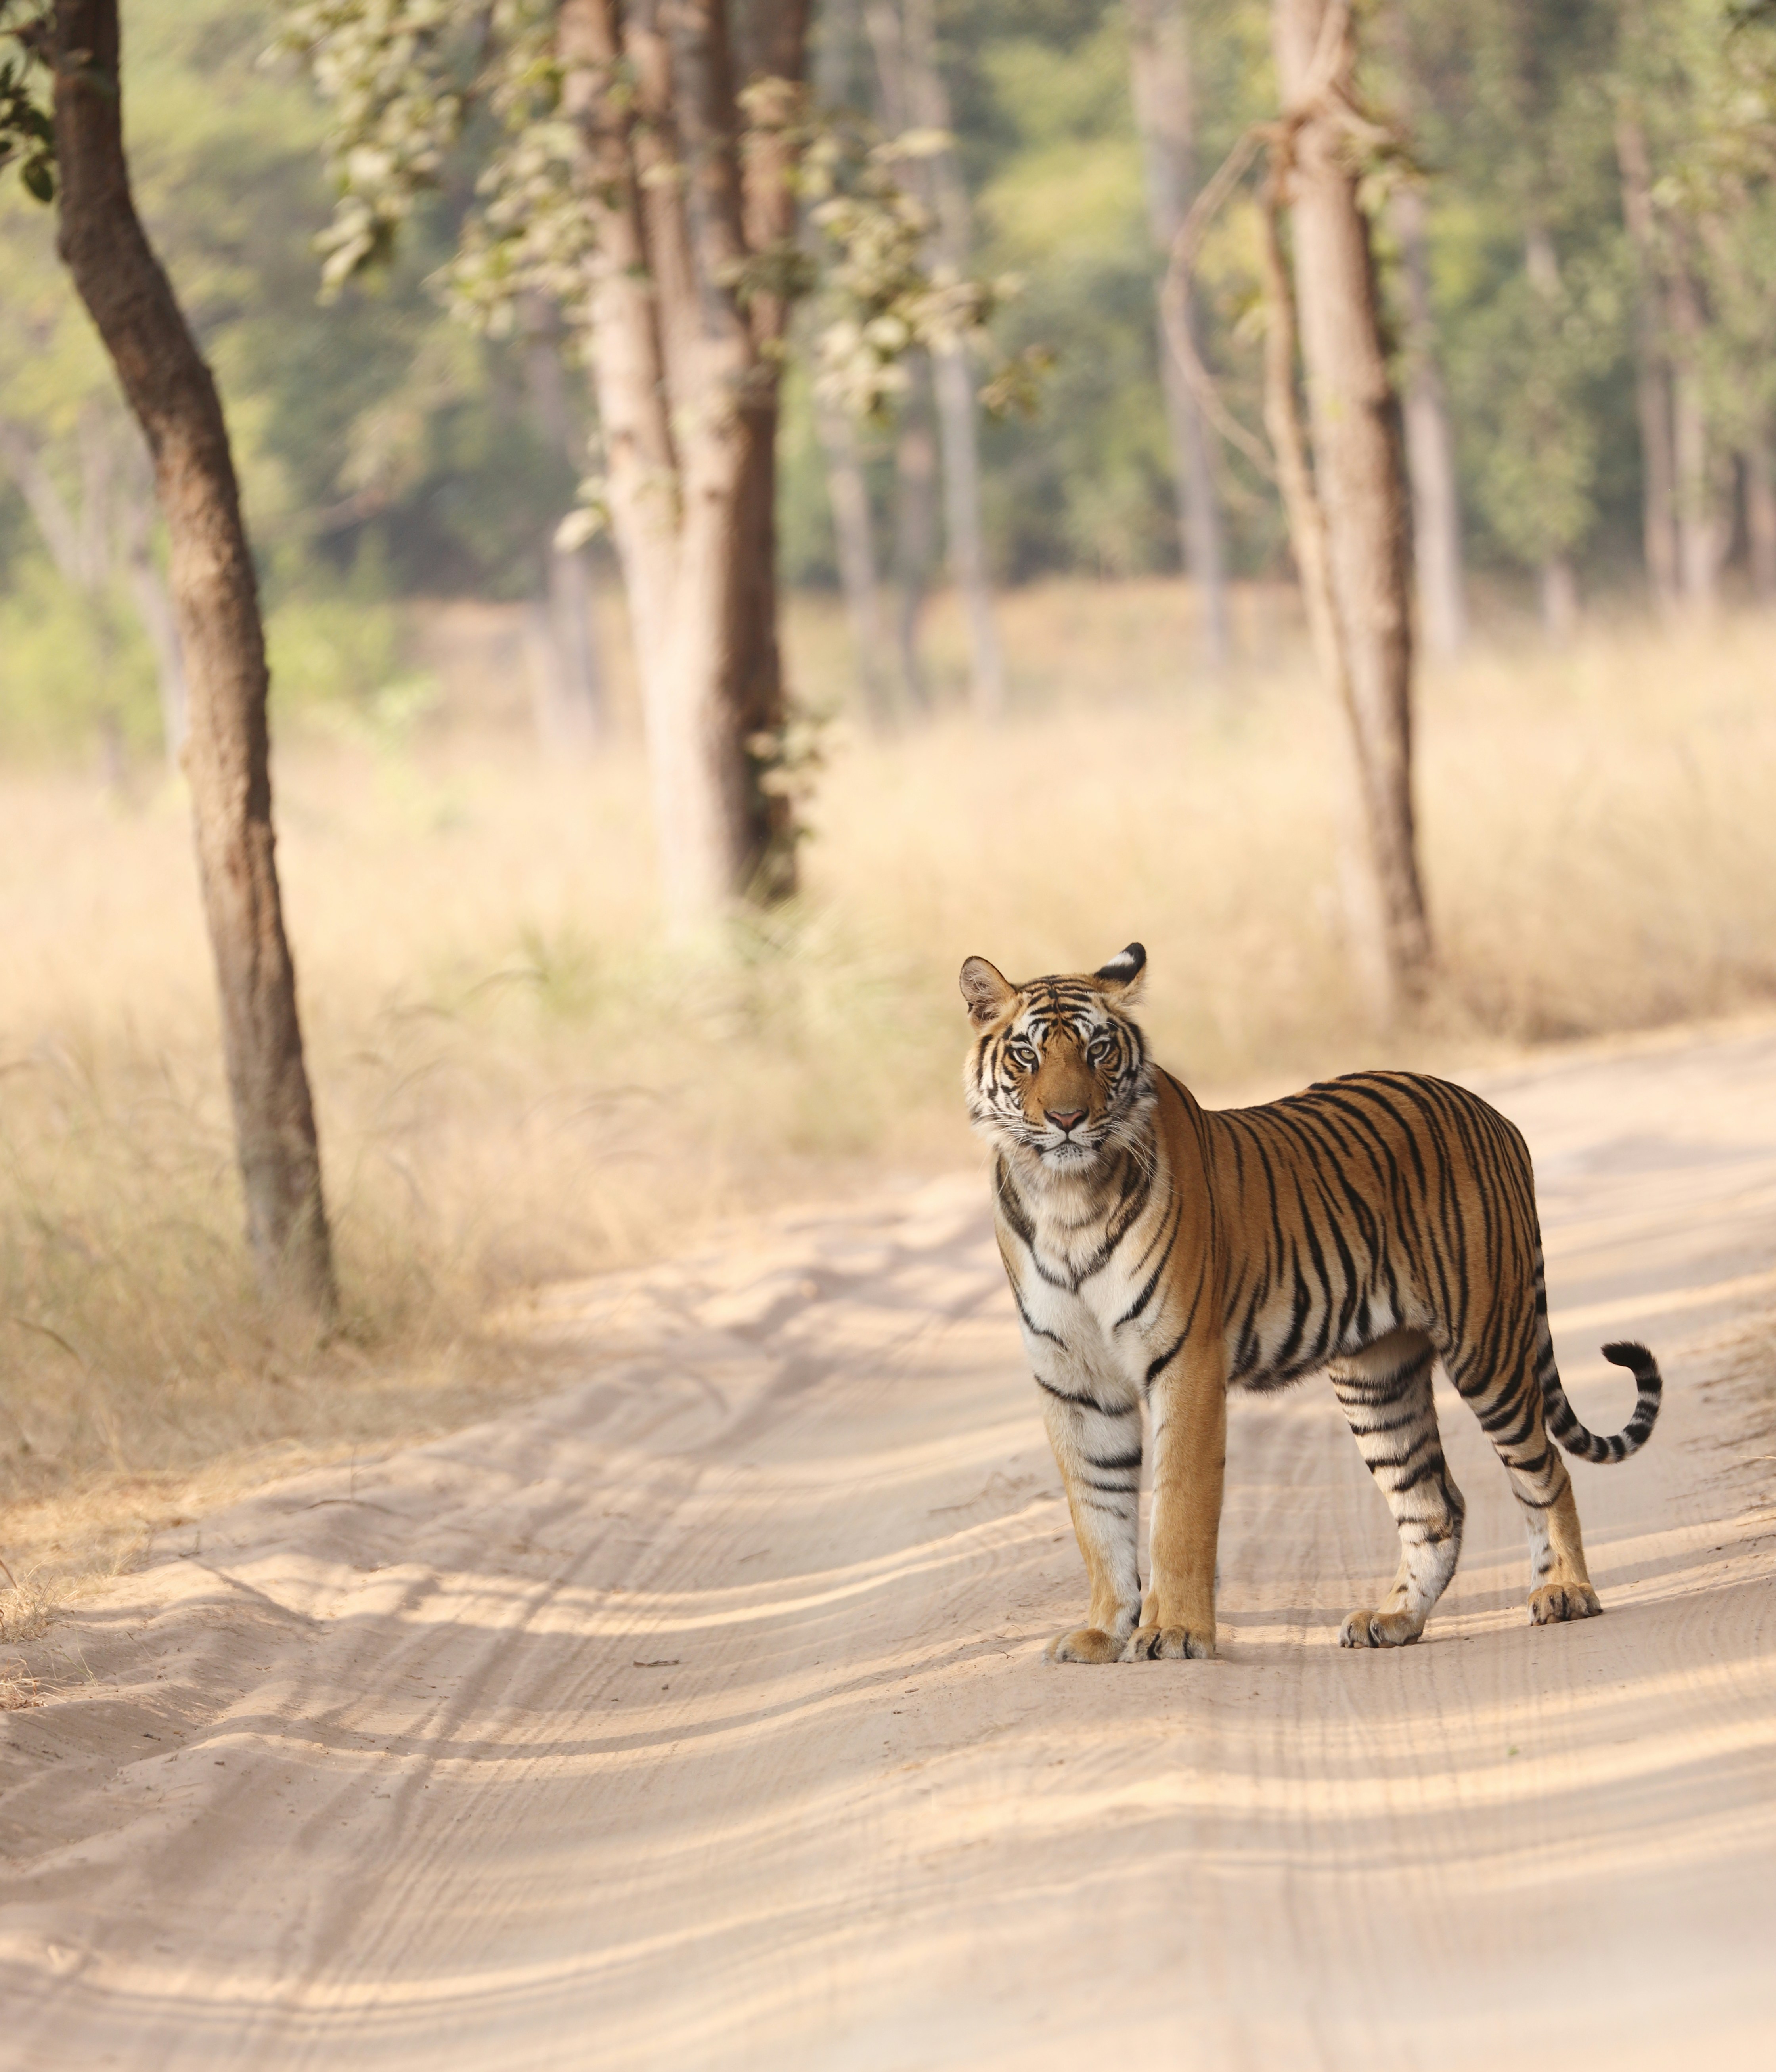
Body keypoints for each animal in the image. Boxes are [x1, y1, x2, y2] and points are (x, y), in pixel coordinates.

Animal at [960, 941, 1663, 1663]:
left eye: (1098, 1051)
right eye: (1027, 1055)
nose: (1067, 1119)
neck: (1065, 1198)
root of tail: (1493, 1113)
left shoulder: (1184, 1361)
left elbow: (1177, 1509)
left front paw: (1174, 1632)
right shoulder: (1074, 1380)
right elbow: (1097, 1514)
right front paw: (1104, 1630)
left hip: (1486, 1344)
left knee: (1546, 1469)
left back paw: (1565, 1591)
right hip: (1377, 1375)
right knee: (1435, 1504)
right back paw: (1394, 1618)